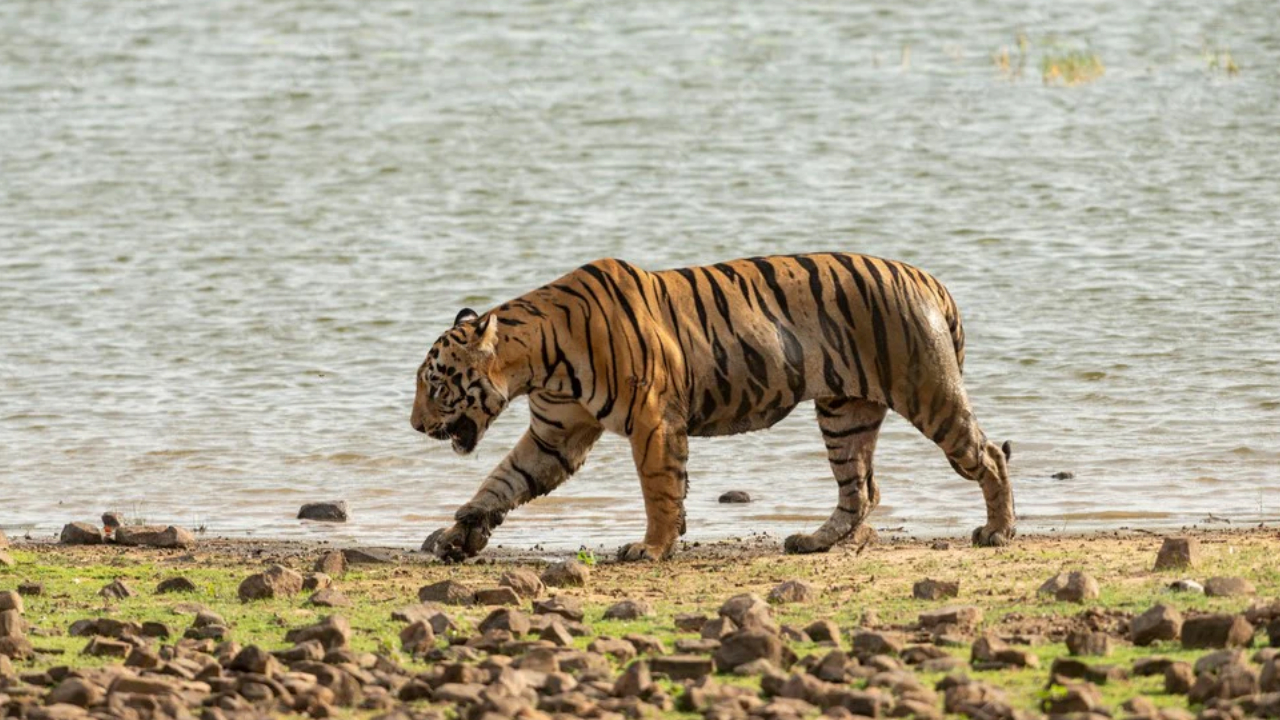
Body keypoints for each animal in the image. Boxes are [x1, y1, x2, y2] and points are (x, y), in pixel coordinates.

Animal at [410, 254, 1015, 562]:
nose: (414, 425)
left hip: (928, 394)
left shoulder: (652, 420)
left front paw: (651, 547)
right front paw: (459, 533)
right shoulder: (555, 435)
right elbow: (501, 482)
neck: (538, 358)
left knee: (989, 454)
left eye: (435, 384)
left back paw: (998, 531)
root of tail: (930, 279)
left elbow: (658, 490)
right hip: (845, 414)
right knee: (861, 489)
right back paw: (814, 541)